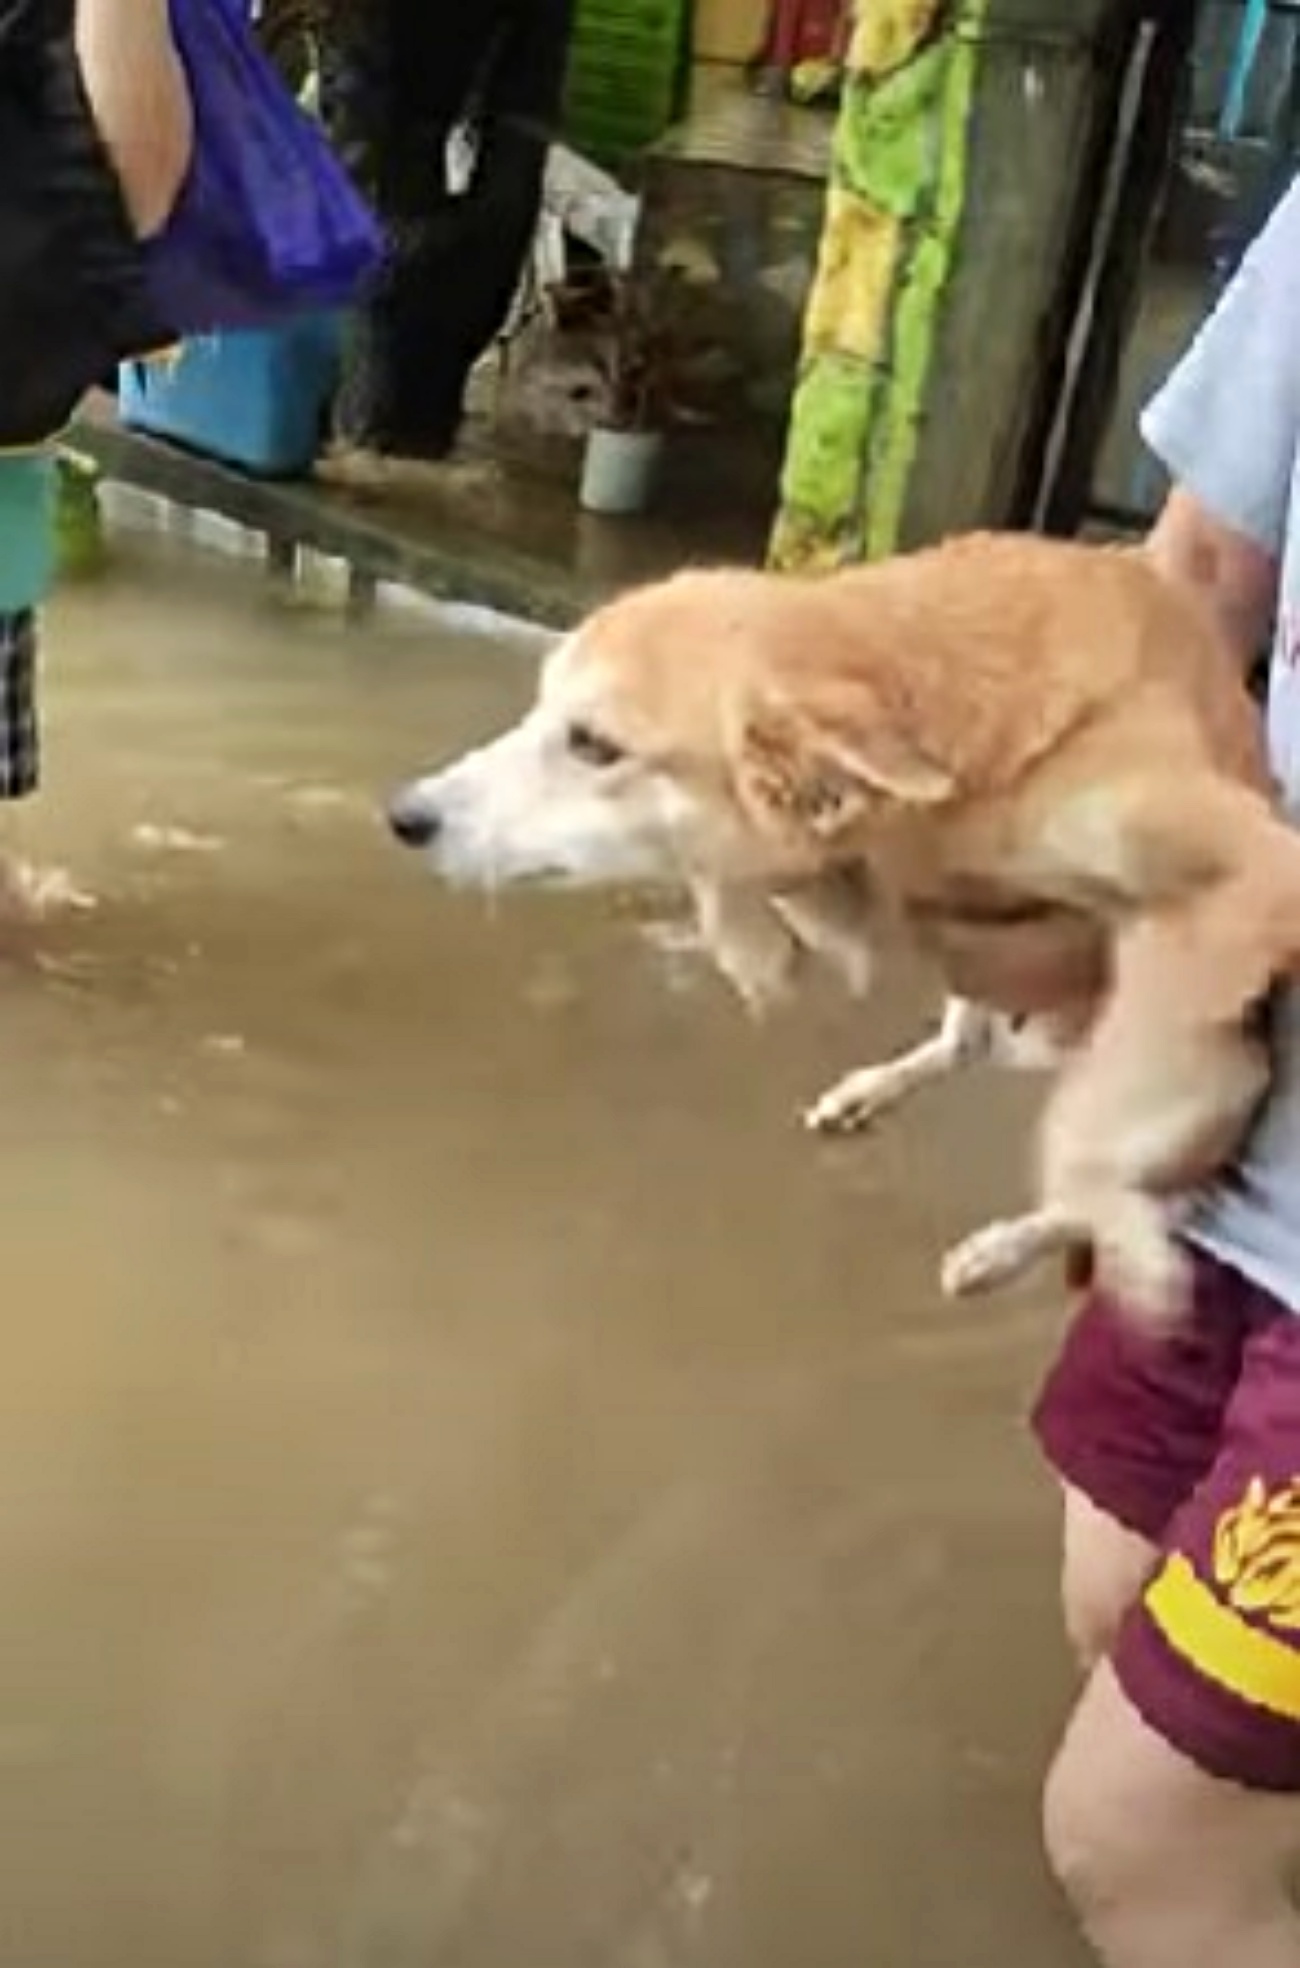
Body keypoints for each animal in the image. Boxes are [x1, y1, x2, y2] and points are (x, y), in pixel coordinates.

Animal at [385, 531, 1290, 1322]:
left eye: (594, 746)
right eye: (541, 711)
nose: (403, 817)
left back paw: (1009, 1247)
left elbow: (1085, 1130)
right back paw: (868, 1094)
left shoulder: (1255, 873)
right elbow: (761, 883)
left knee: (1137, 1181)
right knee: (964, 1045)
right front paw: (756, 946)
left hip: (1227, 1075)